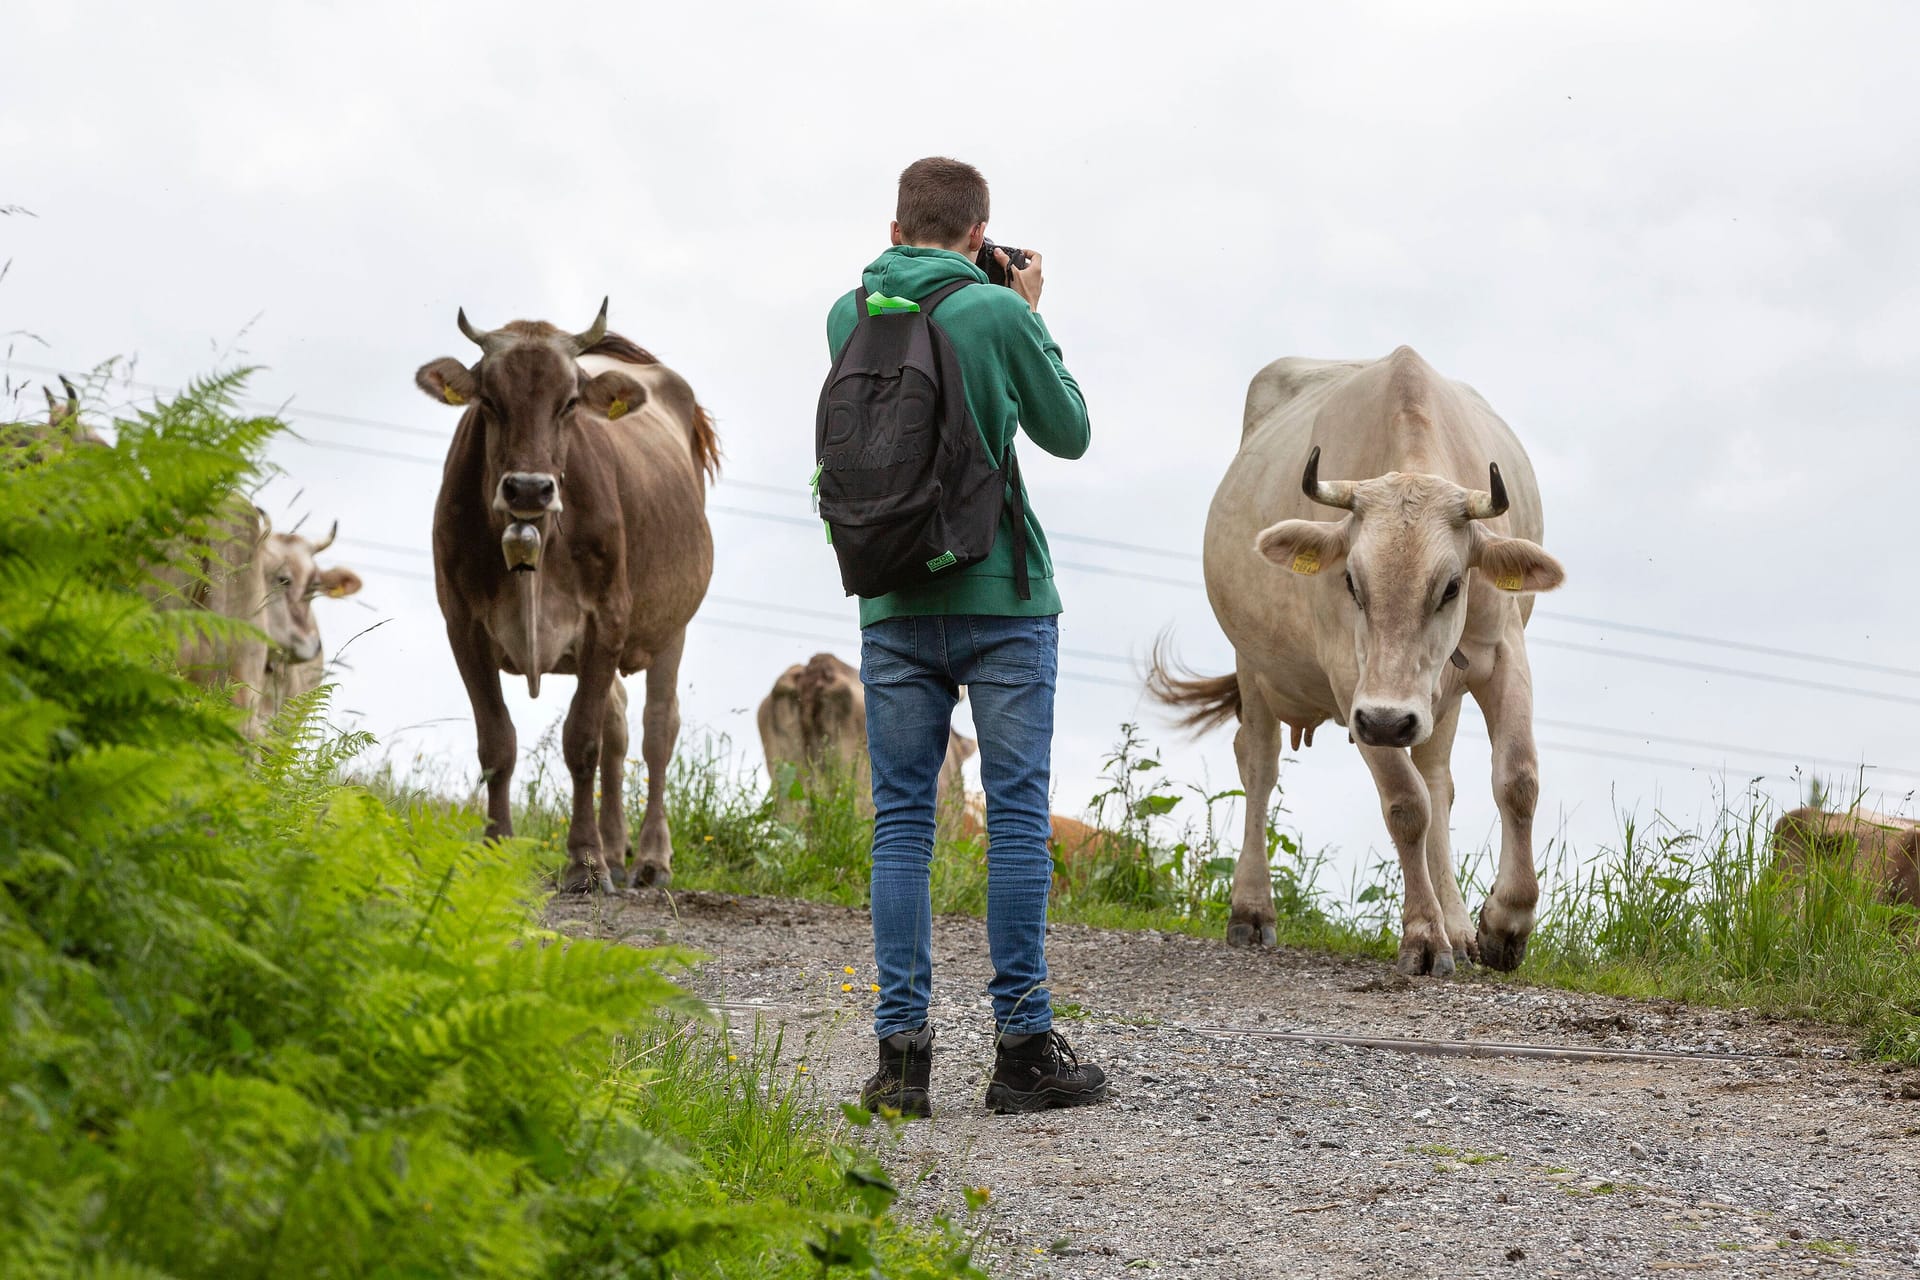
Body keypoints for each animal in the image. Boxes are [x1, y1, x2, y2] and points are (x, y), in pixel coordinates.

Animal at [420, 305, 721, 898]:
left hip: (670, 625)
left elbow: (580, 742)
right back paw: (617, 848)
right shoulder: (462, 626)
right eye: (489, 401)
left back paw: (651, 858)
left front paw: (584, 863)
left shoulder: (607, 620)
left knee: (657, 730)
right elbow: (497, 745)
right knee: (618, 730)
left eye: (570, 403)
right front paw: (497, 850)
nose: (528, 489)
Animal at [1152, 345, 1559, 974]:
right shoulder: (1353, 686)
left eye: (1451, 586)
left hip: (1439, 700)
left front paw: (1503, 926)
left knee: (1439, 781)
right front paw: (1424, 935)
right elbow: (1405, 804)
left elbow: (1516, 777)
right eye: (1351, 580)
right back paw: (1252, 909)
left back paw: (1459, 924)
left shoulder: (1502, 653)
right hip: (1254, 662)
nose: (1390, 720)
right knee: (1259, 766)